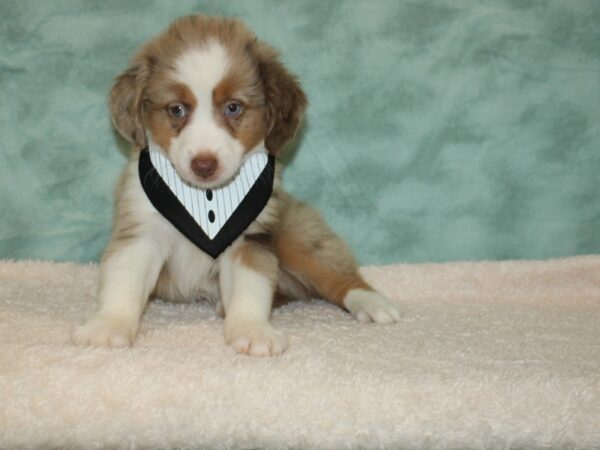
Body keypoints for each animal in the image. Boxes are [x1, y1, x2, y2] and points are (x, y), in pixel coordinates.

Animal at [72, 14, 400, 356]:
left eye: (233, 107)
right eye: (177, 109)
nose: (204, 164)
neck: (206, 197)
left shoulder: (250, 237)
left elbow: (250, 287)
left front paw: (252, 331)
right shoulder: (142, 229)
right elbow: (125, 281)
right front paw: (109, 325)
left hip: (294, 235)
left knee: (339, 274)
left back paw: (373, 302)